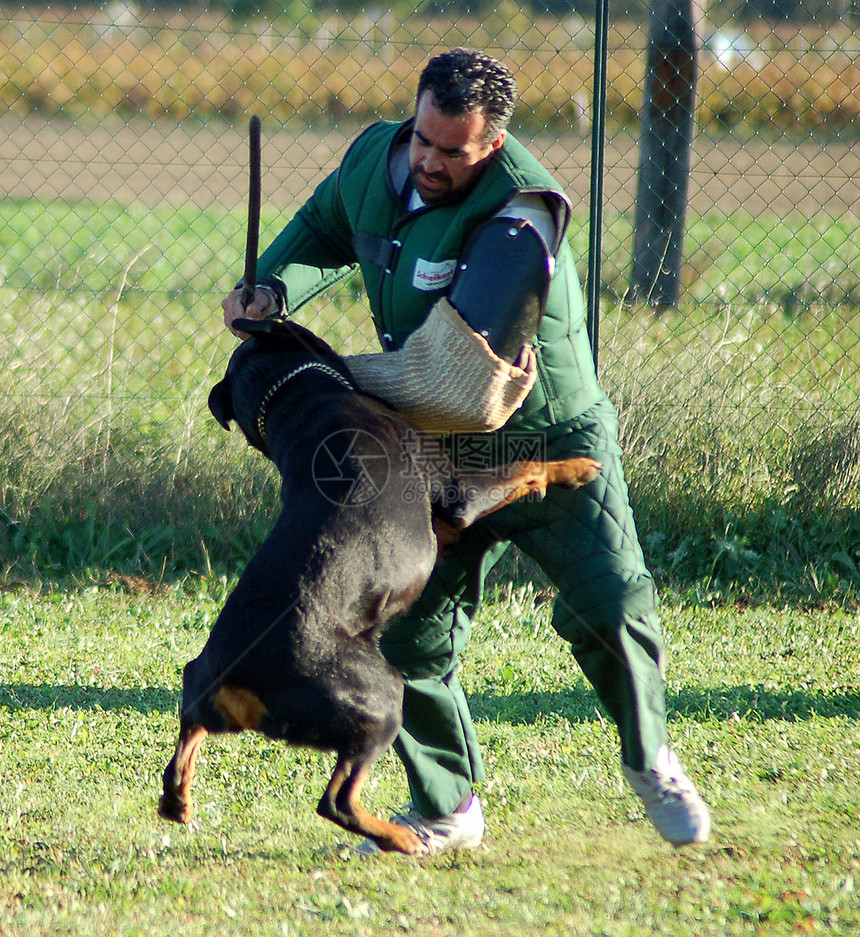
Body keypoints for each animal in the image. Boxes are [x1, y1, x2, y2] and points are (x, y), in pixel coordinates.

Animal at [158, 318, 596, 852]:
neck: (297, 400)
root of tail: (243, 678)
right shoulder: (459, 496)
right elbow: (527, 468)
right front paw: (575, 468)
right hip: (382, 698)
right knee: (337, 801)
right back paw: (400, 839)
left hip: (202, 681)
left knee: (187, 732)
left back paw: (177, 801)